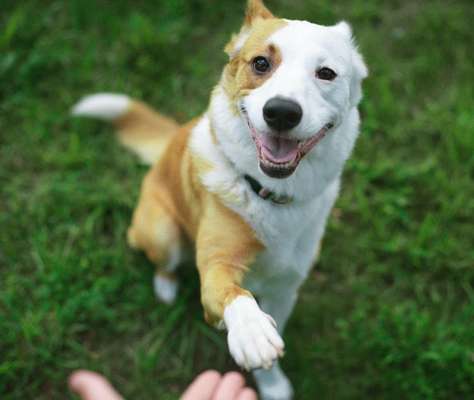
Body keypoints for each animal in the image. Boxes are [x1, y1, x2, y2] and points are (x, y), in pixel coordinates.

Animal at [72, 1, 366, 398]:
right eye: (261, 63)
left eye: (326, 73)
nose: (282, 112)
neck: (271, 194)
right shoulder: (217, 264)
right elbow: (230, 291)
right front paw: (251, 332)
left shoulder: (285, 288)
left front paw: (272, 385)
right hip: (162, 233)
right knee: (157, 256)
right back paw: (166, 286)